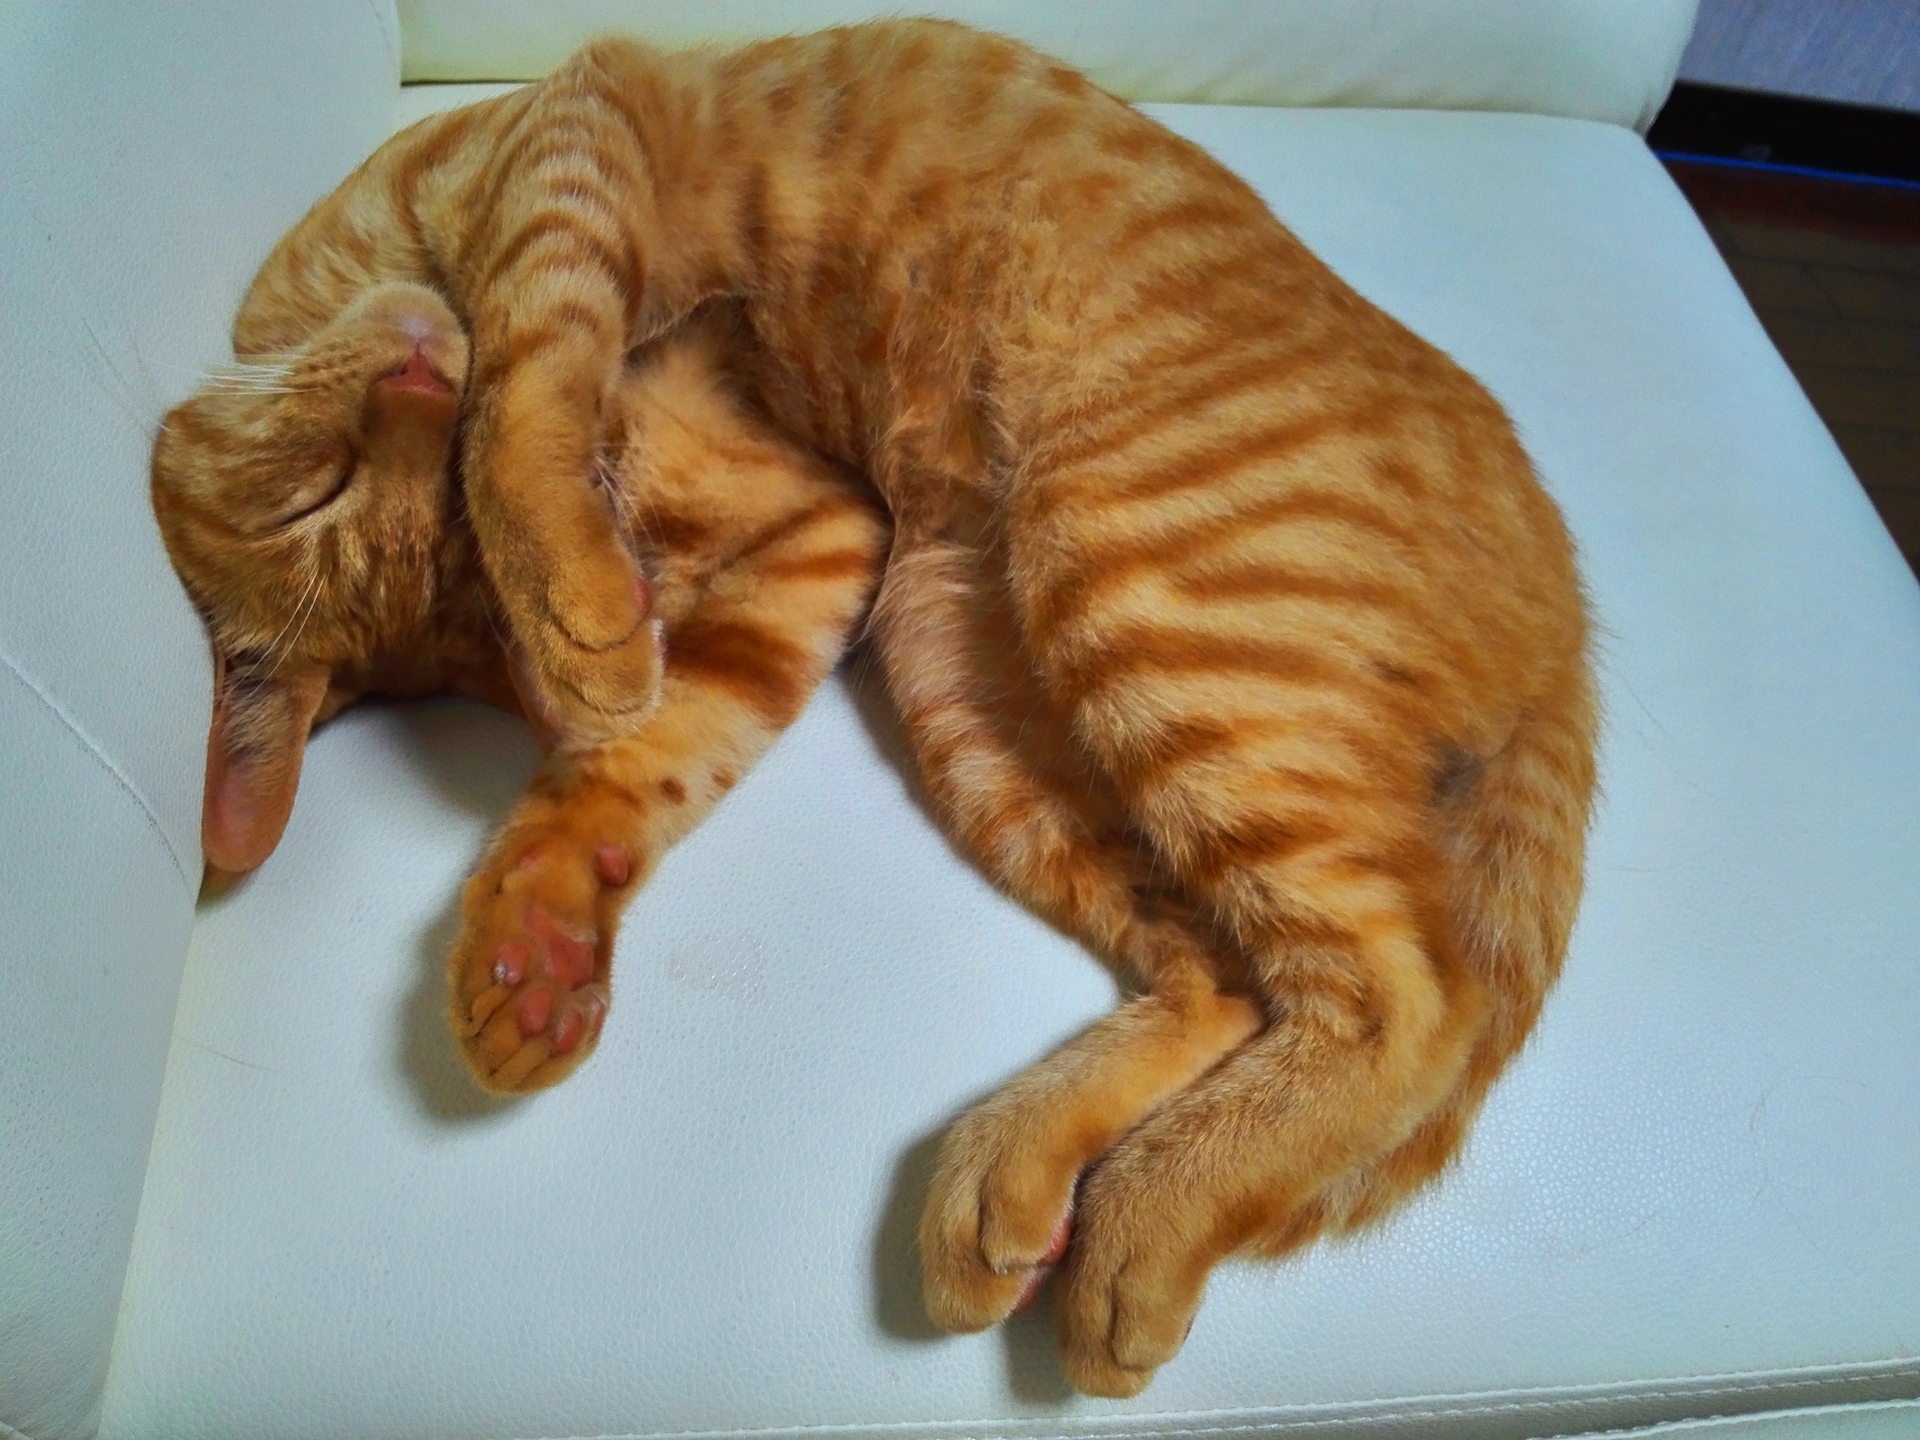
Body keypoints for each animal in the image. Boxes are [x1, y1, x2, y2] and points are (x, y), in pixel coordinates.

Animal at [149, 19, 1597, 1398]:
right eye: (319, 488)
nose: (418, 377)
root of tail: (1569, 602)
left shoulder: (584, 136)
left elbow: (532, 361)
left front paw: (569, 597)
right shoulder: (822, 543)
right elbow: (632, 767)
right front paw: (545, 938)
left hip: (1132, 582)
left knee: (1409, 999)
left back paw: (1151, 1223)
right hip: (975, 670)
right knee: (1229, 977)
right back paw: (1019, 1175)